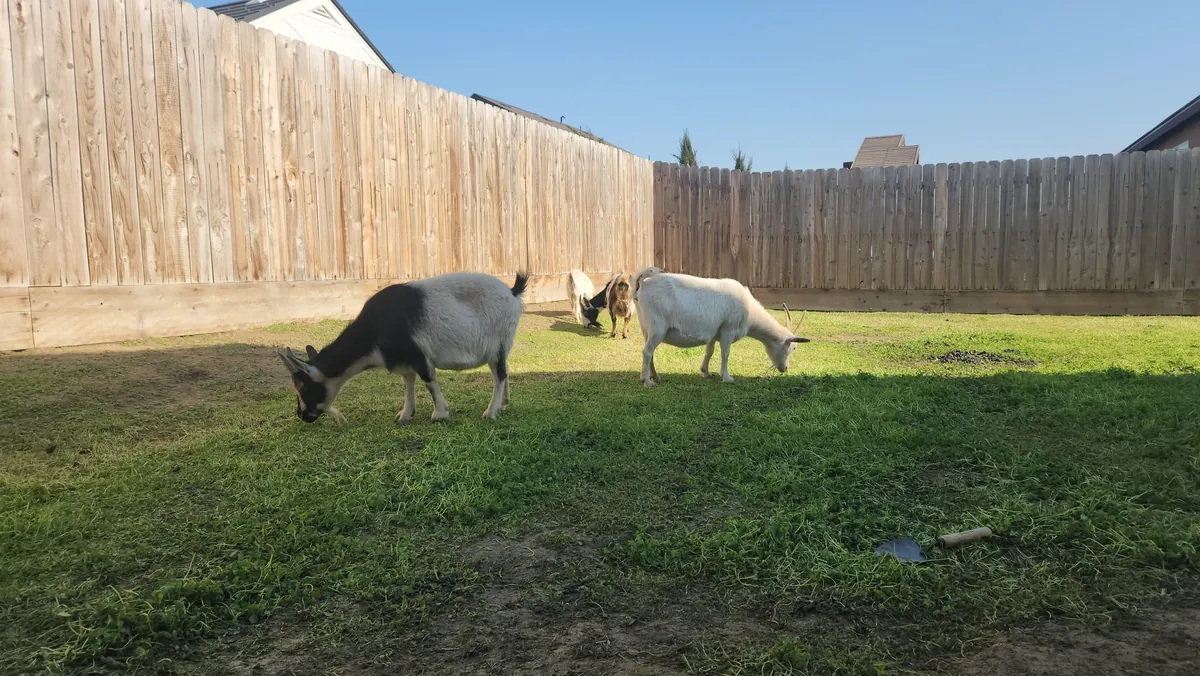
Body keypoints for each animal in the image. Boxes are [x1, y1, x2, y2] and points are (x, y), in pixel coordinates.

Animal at [278, 272, 528, 423]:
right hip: (501, 347)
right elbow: (407, 383)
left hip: (498, 342)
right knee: (504, 371)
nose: (301, 415)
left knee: (499, 374)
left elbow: (429, 381)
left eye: (304, 388)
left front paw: (440, 414)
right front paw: (406, 414)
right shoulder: (404, 361)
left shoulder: (419, 354)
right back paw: (503, 404)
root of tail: (513, 292)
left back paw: (490, 412)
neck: (374, 331)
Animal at [632, 267, 809, 387]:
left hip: (646, 327)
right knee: (647, 351)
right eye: (793, 348)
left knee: (650, 351)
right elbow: (726, 353)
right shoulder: (728, 329)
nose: (784, 369)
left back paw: (654, 376)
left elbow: (709, 351)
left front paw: (705, 372)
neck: (749, 311)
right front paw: (727, 377)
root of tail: (643, 284)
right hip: (658, 326)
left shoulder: (714, 331)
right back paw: (647, 381)